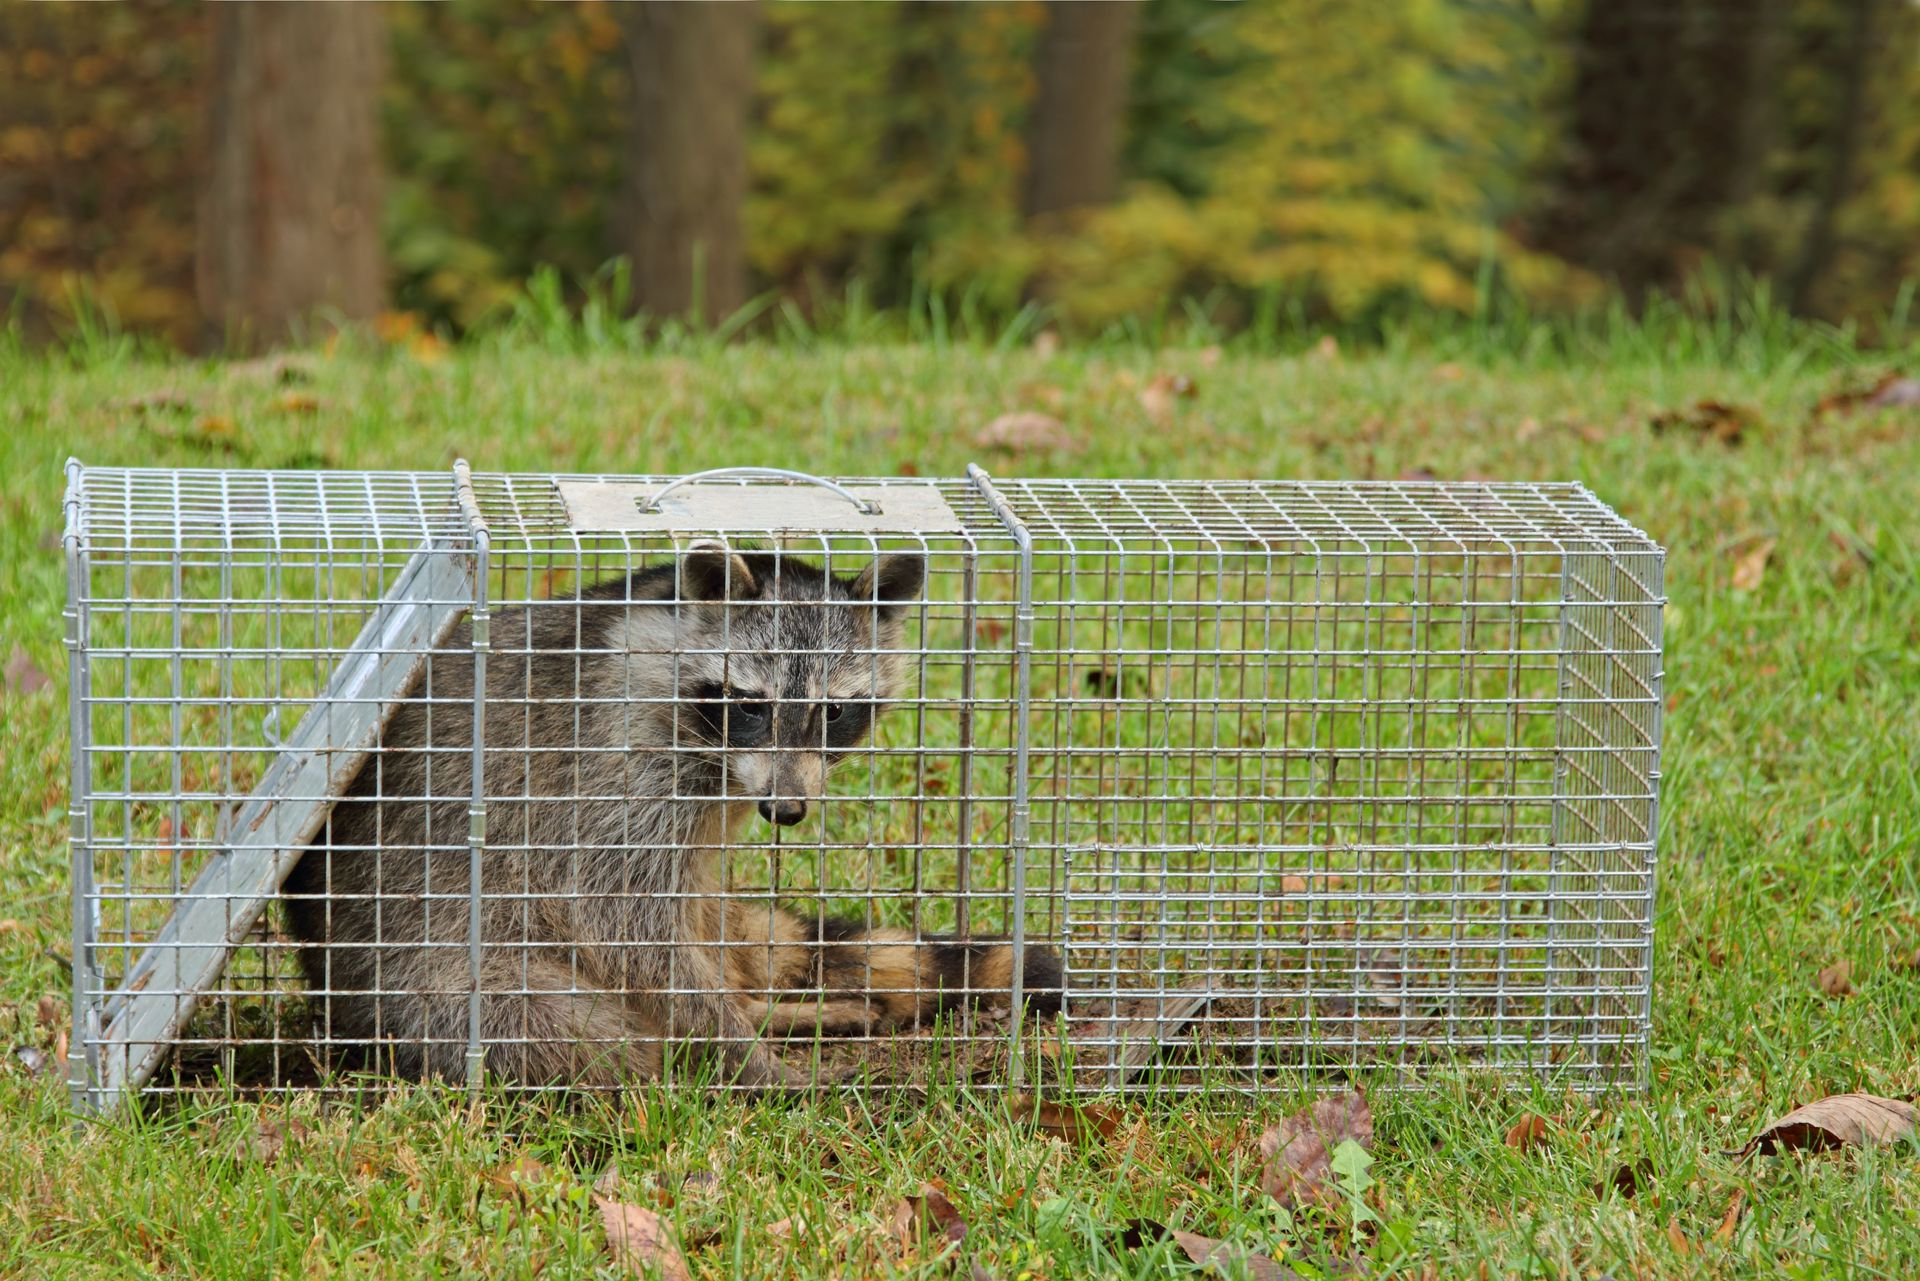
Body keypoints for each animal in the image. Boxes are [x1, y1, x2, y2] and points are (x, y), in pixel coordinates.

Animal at [284, 544, 1062, 1089]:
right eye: (751, 704)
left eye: (834, 711)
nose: (786, 810)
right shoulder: (613, 763)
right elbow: (623, 922)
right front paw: (740, 1052)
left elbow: (688, 916)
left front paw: (750, 1017)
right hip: (426, 977)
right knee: (570, 1030)